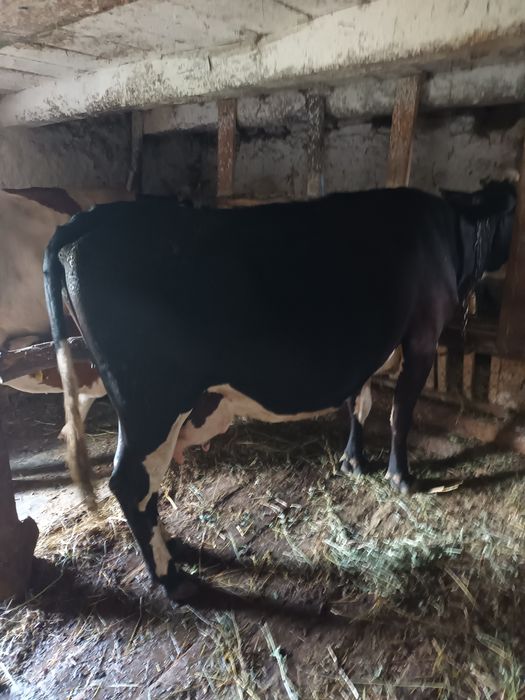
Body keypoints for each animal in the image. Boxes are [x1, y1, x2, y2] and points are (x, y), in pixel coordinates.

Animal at [44, 180, 516, 601]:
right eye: (514, 208)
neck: (449, 233)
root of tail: (93, 217)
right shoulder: (421, 337)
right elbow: (401, 412)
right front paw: (401, 476)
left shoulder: (363, 351)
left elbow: (360, 403)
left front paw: (353, 461)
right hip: (152, 403)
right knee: (130, 482)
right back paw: (172, 578)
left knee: (146, 486)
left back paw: (174, 547)